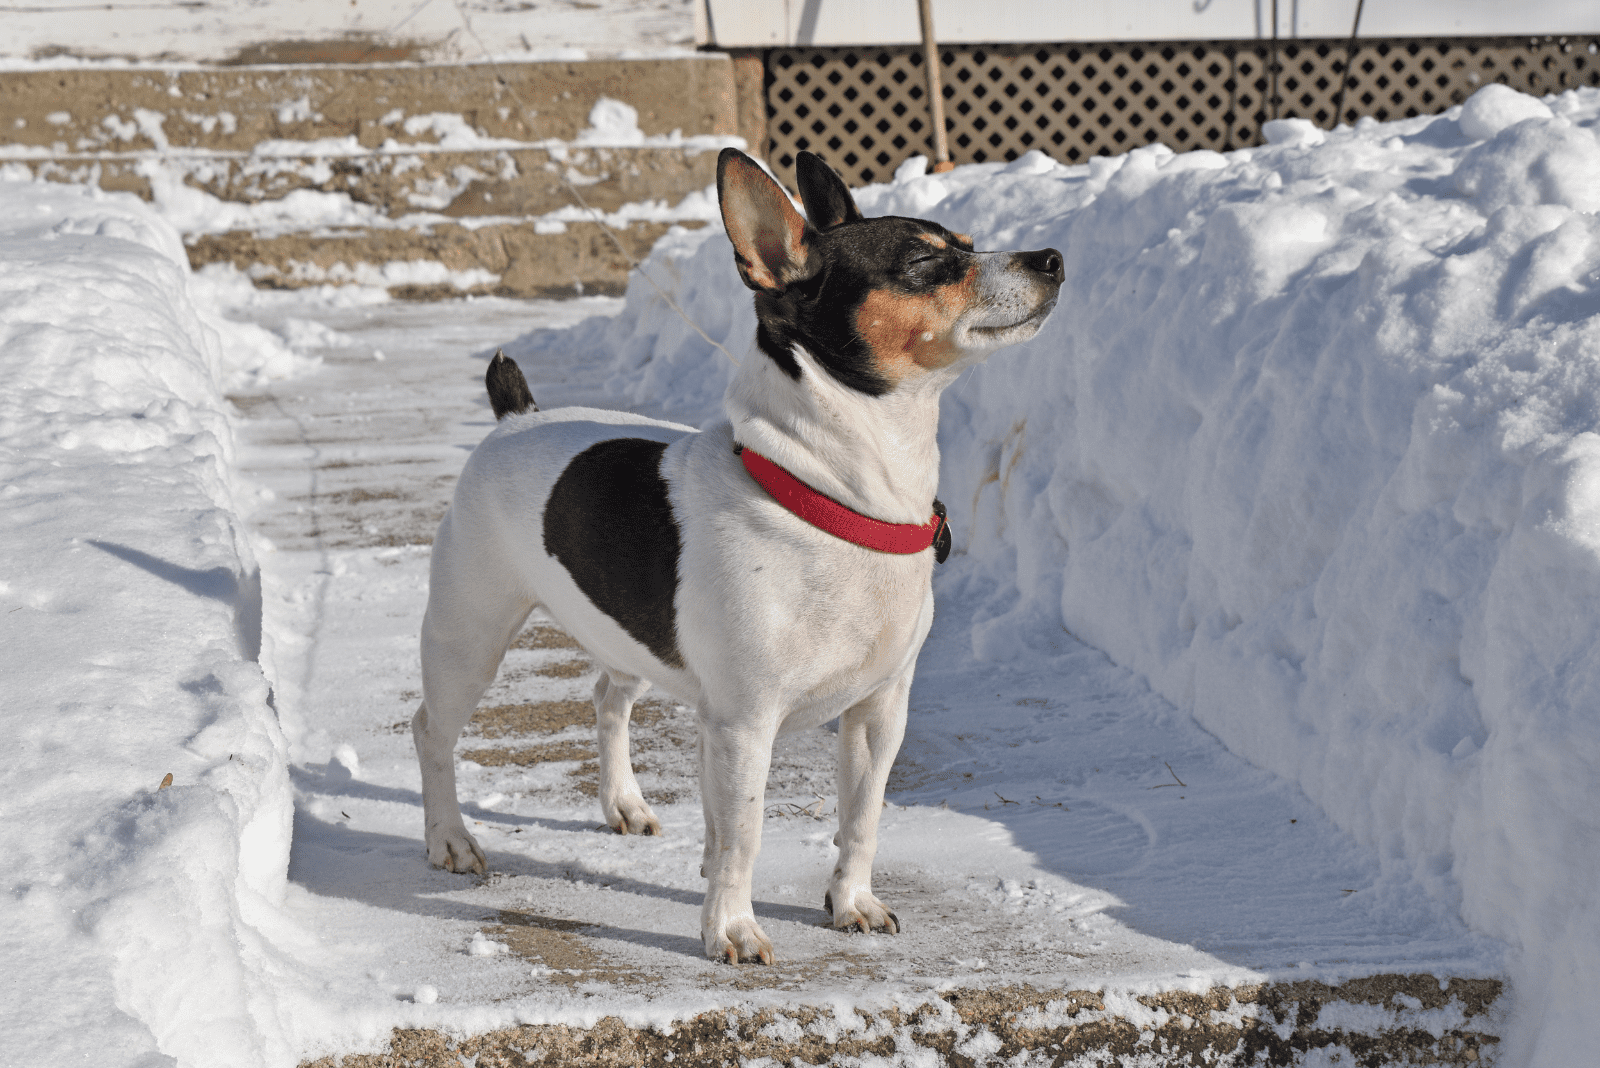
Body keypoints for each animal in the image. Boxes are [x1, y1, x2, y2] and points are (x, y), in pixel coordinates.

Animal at [412, 151, 1062, 965]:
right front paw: (731, 926)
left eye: (968, 243)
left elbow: (862, 817)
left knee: (608, 700)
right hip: (468, 638)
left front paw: (851, 902)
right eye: (922, 261)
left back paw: (623, 802)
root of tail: (514, 416)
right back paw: (450, 840)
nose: (1053, 258)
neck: (832, 496)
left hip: (630, 639)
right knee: (432, 730)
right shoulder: (747, 722)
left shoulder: (879, 711)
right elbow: (744, 832)